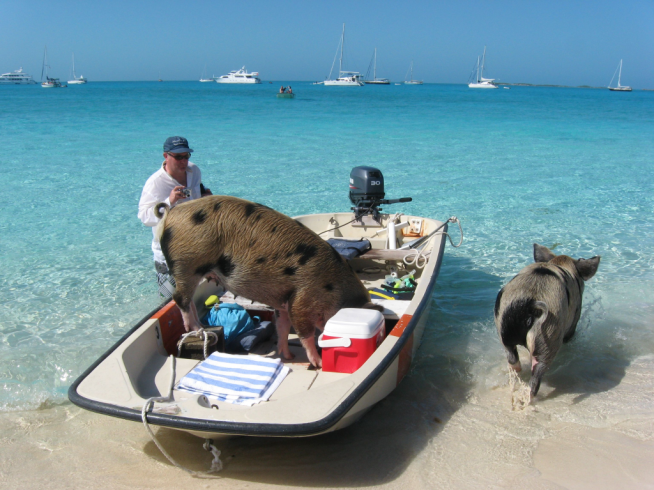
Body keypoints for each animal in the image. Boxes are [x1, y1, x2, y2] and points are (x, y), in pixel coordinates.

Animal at [153, 195, 381, 368]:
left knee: (188, 300)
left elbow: (282, 326)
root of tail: (171, 213)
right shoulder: (302, 299)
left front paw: (287, 356)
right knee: (180, 297)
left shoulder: (284, 302)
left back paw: (200, 326)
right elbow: (304, 332)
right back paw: (197, 330)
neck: (335, 290)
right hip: (187, 263)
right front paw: (317, 363)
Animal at [494, 243, 600, 398]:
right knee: (537, 375)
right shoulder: (576, 314)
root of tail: (528, 304)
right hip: (548, 336)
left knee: (513, 360)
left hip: (504, 328)